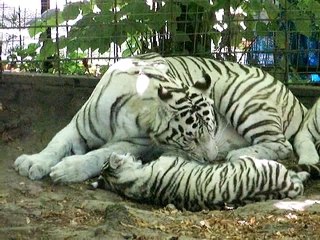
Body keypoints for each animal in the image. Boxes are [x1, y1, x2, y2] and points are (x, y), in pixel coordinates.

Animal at [15, 53, 310, 183]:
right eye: (191, 138)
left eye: (212, 128)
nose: (211, 158)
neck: (134, 102)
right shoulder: (78, 126)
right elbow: (55, 143)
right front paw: (33, 162)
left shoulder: (137, 143)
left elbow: (98, 155)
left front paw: (68, 170)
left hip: (239, 98)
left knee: (282, 145)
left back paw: (237, 155)